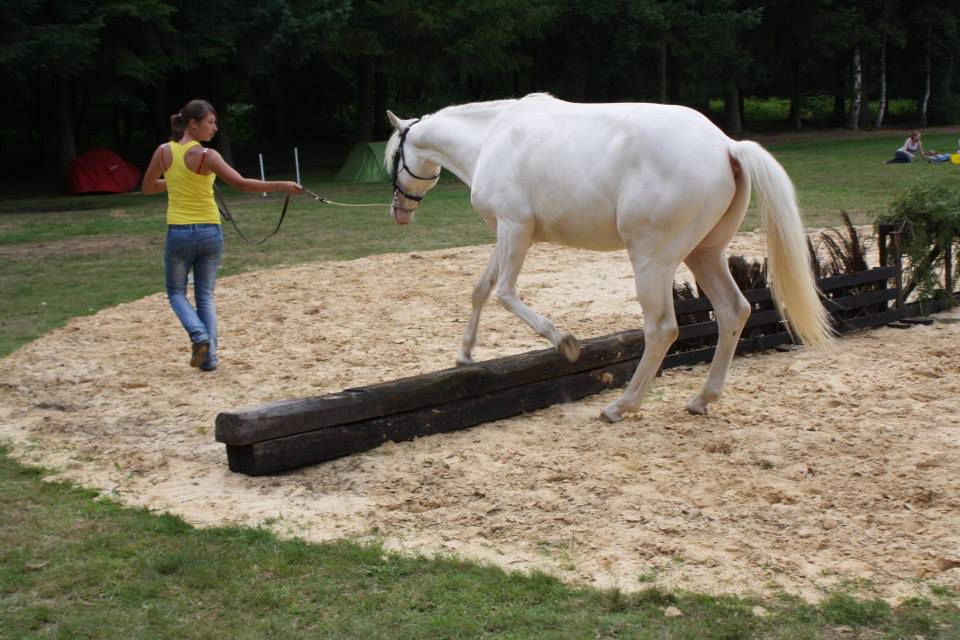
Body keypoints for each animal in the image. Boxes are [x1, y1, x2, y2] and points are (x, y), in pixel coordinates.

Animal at [384, 93, 832, 423]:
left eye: (392, 158)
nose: (399, 212)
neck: (492, 136)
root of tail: (725, 146)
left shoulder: (515, 229)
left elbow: (506, 293)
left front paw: (565, 342)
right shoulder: (506, 233)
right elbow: (481, 289)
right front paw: (464, 355)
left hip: (652, 260)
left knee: (662, 329)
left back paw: (621, 407)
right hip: (704, 254)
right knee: (733, 311)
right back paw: (702, 399)